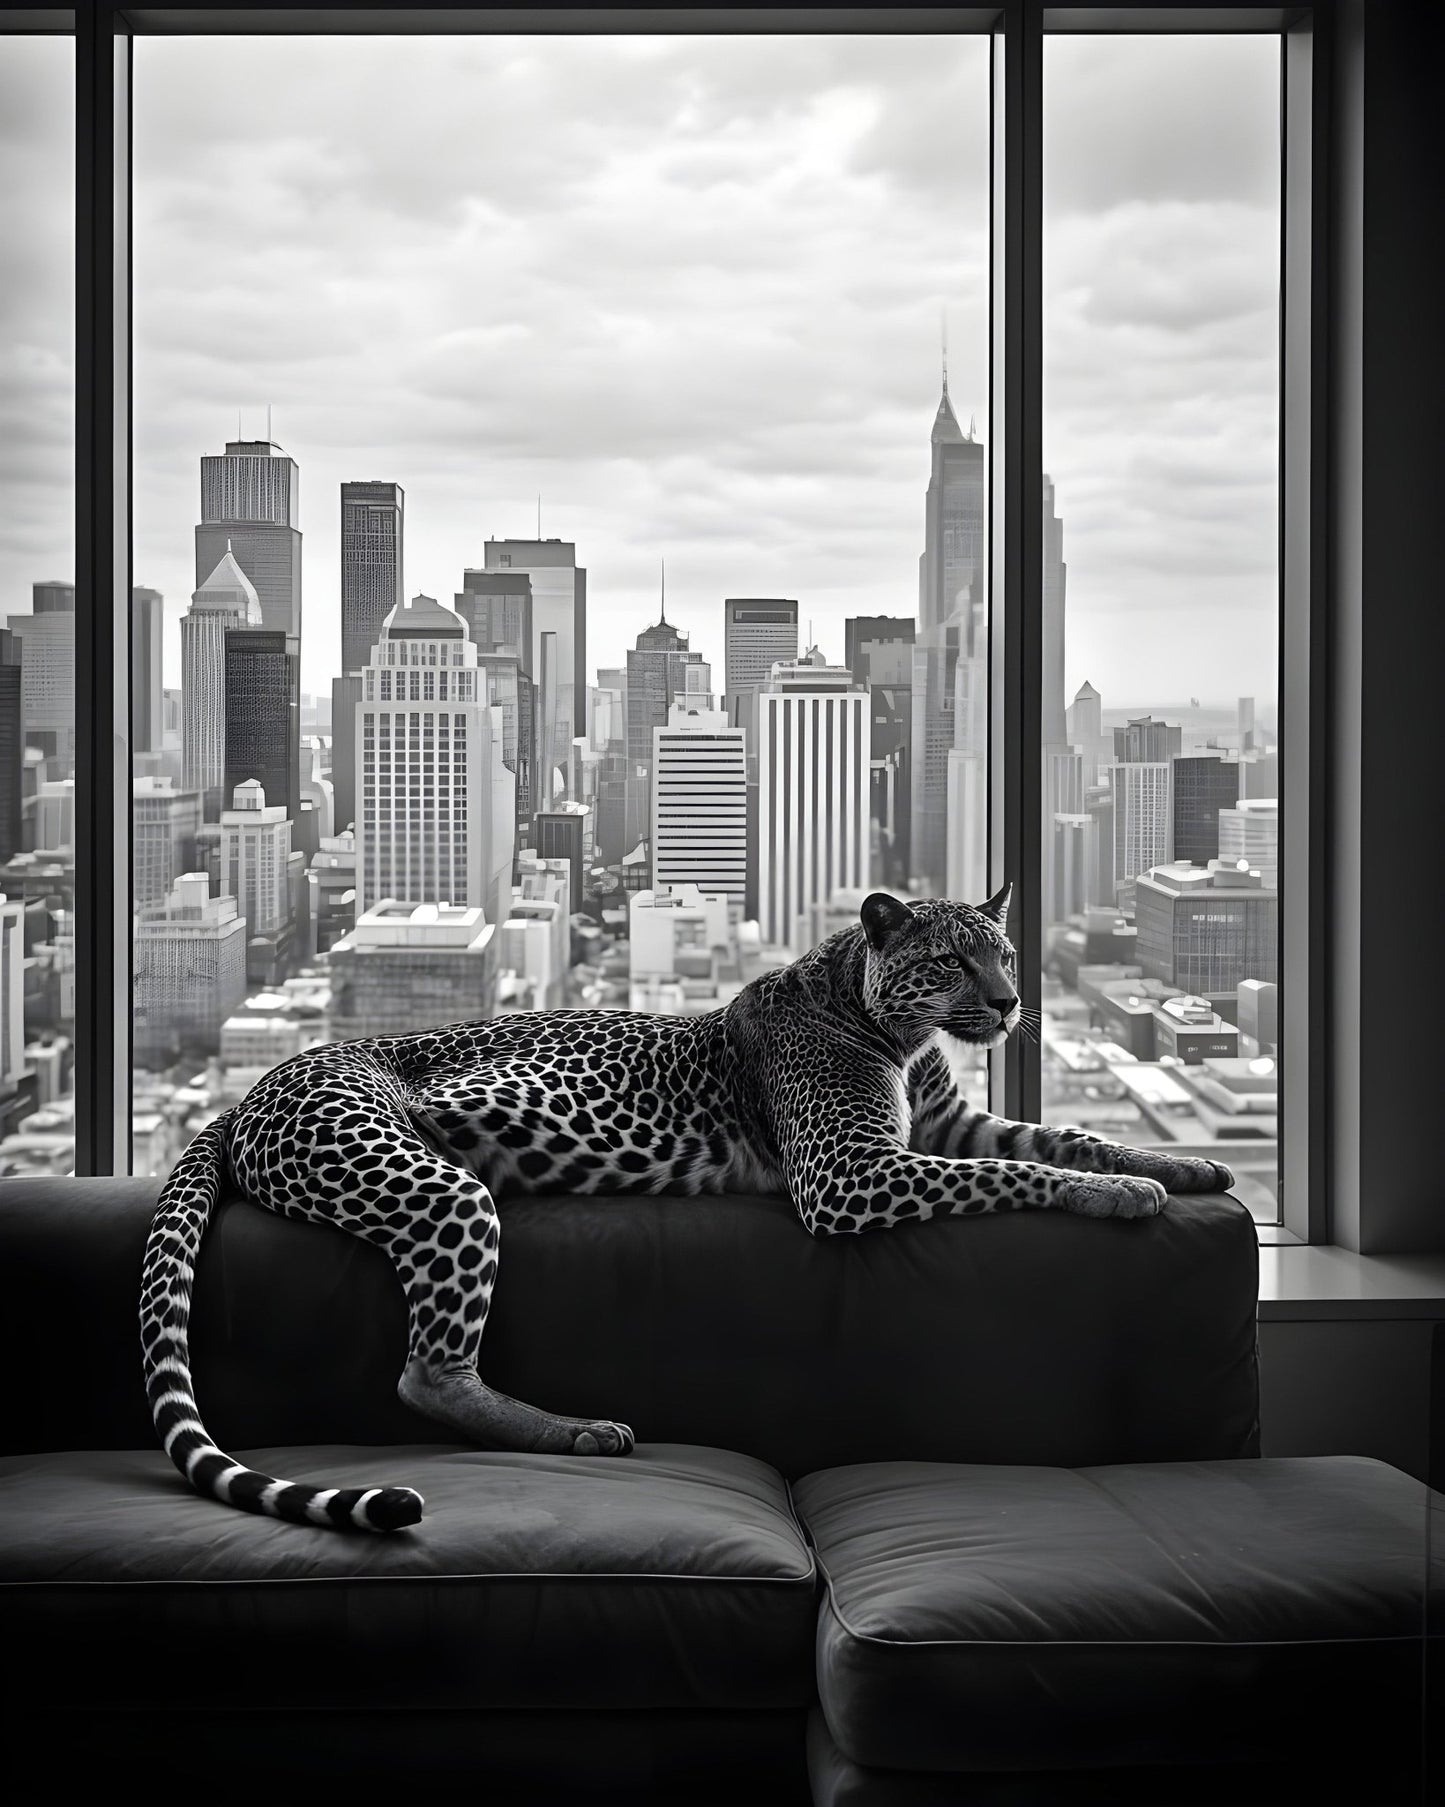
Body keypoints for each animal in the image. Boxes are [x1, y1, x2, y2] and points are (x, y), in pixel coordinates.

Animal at [141, 885, 1234, 1532]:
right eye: (951, 962)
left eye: (1003, 951)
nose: (1008, 1003)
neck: (895, 1028)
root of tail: (252, 1086)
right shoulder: (850, 1172)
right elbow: (1019, 1177)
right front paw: (1121, 1194)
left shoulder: (947, 1125)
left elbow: (1060, 1138)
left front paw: (1177, 1166)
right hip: (432, 1184)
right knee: (429, 1373)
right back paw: (578, 1433)